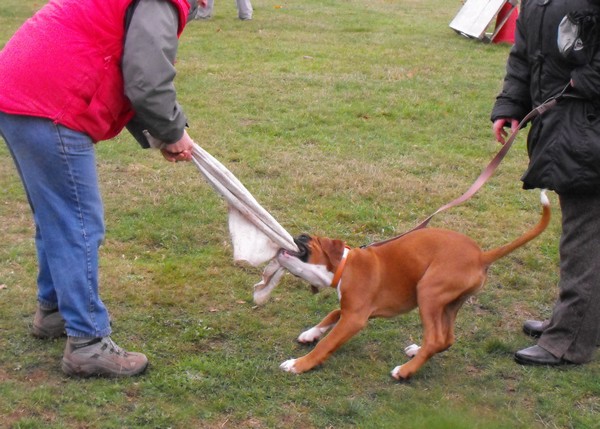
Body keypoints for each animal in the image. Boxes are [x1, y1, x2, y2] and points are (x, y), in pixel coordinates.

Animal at [278, 191, 552, 378]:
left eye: (305, 238)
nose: (292, 236)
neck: (346, 265)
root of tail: (481, 256)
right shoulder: (353, 310)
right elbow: (332, 313)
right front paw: (311, 333)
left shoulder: (355, 317)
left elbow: (328, 342)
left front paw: (299, 364)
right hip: (449, 304)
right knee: (446, 338)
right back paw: (416, 352)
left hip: (428, 293)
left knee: (435, 339)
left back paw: (405, 371)